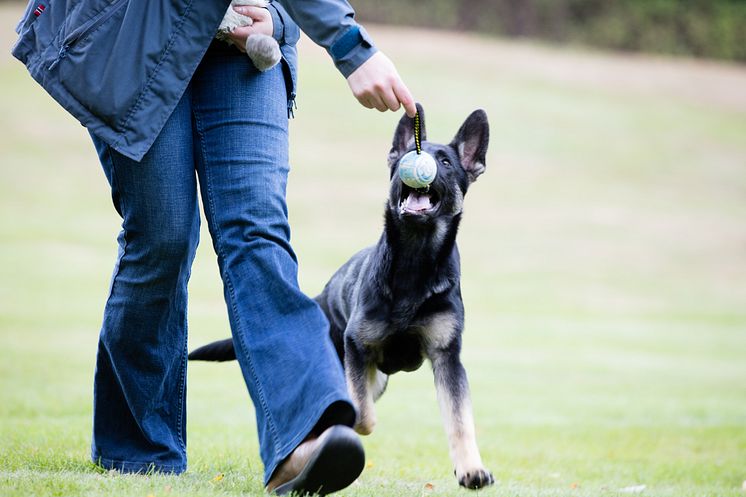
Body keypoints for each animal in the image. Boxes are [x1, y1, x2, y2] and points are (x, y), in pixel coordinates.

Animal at [190, 104, 494, 488]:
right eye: (406, 156)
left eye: (446, 162)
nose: (414, 158)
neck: (416, 259)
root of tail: (321, 298)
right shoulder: (357, 347)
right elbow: (362, 414)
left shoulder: (447, 357)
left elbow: (460, 420)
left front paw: (471, 469)